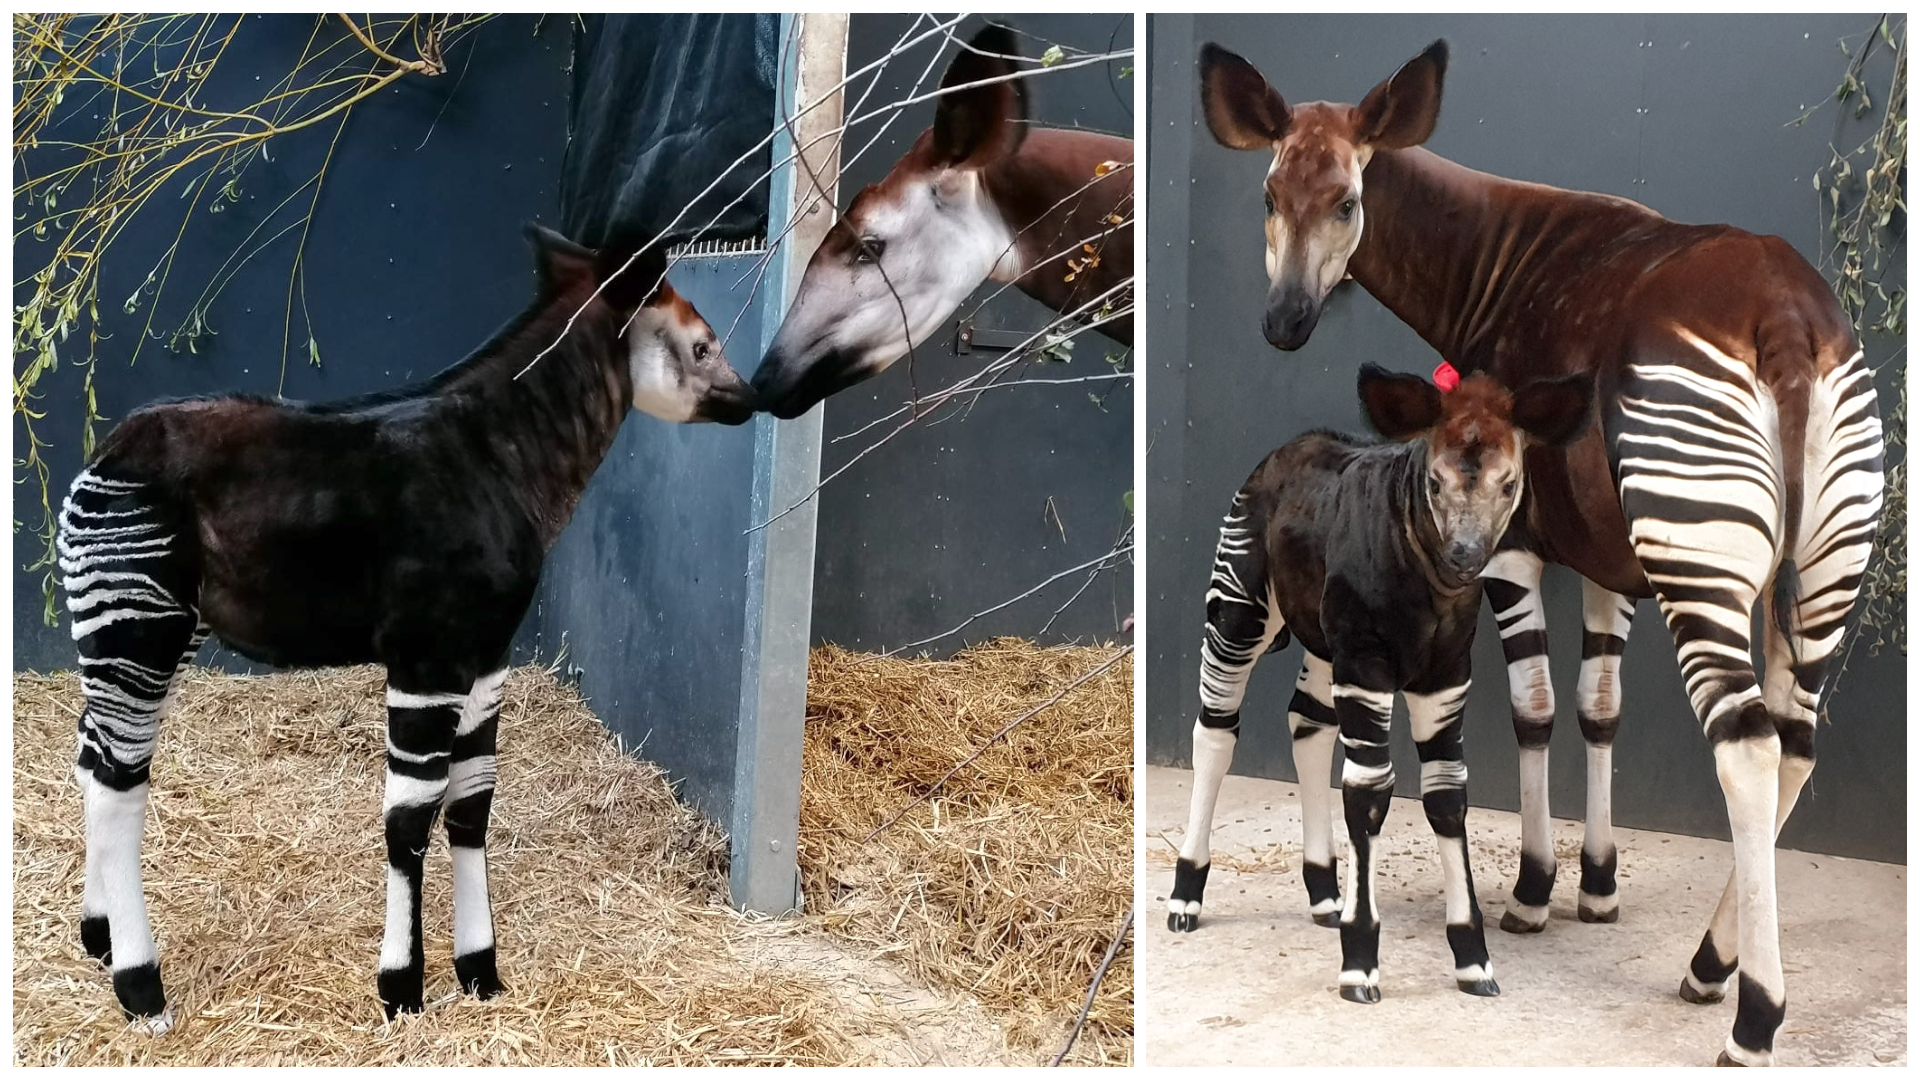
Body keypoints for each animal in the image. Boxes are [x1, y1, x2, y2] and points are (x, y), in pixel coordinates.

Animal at [61, 220, 748, 1022]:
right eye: (702, 346)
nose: (753, 394)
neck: (509, 455)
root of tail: (105, 455)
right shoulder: (429, 655)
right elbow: (409, 819)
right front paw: (401, 986)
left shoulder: (486, 656)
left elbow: (471, 805)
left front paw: (480, 970)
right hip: (142, 627)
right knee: (119, 779)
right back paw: (141, 986)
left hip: (143, 629)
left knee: (92, 757)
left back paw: (99, 936)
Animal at [1167, 361, 1589, 999]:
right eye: (1435, 483)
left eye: (1509, 483)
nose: (1465, 556)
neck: (1426, 585)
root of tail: (1287, 449)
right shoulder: (1367, 665)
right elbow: (1369, 794)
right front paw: (1360, 961)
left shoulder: (1443, 677)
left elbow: (1447, 795)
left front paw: (1473, 958)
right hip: (1241, 607)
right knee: (1216, 727)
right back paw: (1186, 896)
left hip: (1324, 644)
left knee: (1306, 721)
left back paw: (1323, 892)